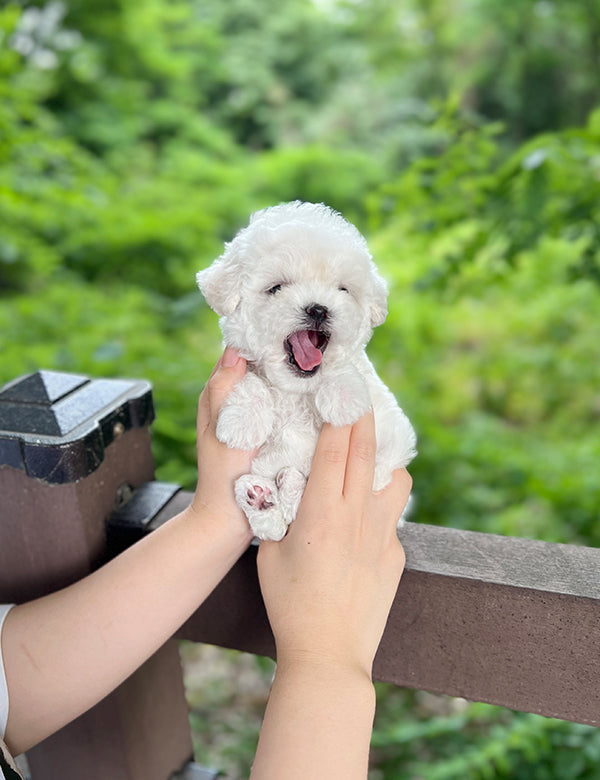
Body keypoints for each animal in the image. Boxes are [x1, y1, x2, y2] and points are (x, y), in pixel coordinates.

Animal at [198, 201, 418, 544]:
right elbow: (251, 379)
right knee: (273, 529)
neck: (294, 390)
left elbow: (349, 367)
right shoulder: (241, 362)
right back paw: (261, 498)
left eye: (343, 289)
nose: (318, 309)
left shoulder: (392, 435)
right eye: (276, 288)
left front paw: (342, 397)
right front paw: (242, 422)